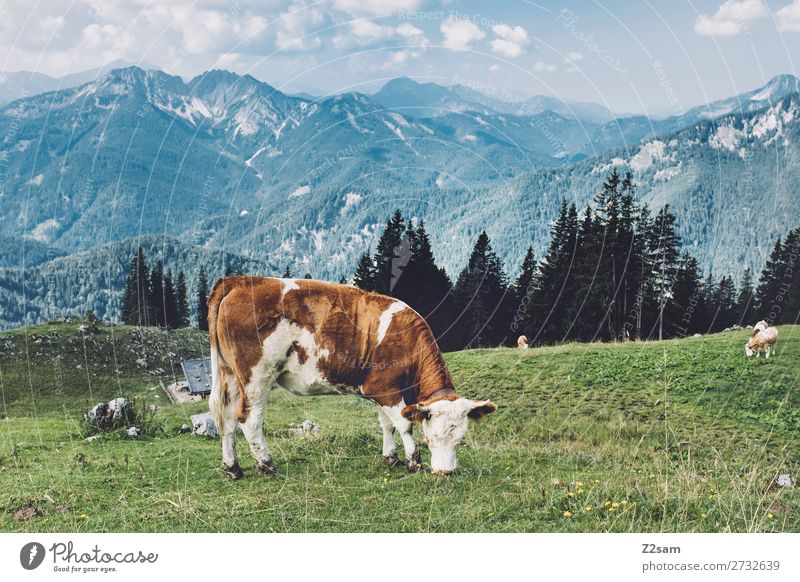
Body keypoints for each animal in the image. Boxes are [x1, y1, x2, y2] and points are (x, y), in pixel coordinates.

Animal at [206, 278, 494, 480]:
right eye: (430, 438)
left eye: (460, 439)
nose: (447, 472)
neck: (406, 341)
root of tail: (238, 281)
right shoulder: (386, 389)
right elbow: (403, 425)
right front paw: (414, 461)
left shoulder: (383, 391)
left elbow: (386, 425)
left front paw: (391, 457)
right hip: (256, 375)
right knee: (249, 419)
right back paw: (266, 464)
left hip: (229, 374)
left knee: (227, 420)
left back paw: (232, 468)